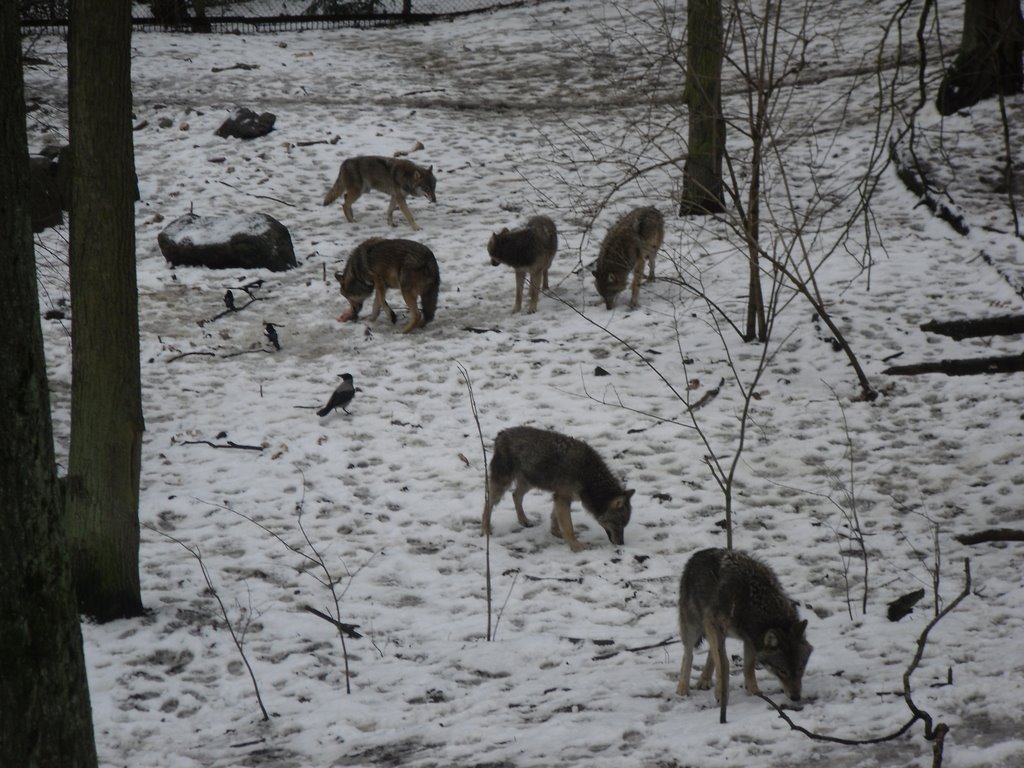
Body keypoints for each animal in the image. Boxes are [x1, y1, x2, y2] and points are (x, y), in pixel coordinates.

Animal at [479, 428, 630, 552]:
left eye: (624, 525)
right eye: (617, 523)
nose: (622, 544)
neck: (587, 474)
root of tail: (501, 434)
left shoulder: (560, 497)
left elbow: (555, 516)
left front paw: (556, 532)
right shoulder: (563, 497)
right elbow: (569, 527)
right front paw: (576, 546)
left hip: (530, 483)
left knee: (515, 495)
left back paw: (524, 521)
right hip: (502, 486)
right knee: (488, 504)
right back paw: (486, 530)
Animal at [675, 548, 811, 712]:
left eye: (800, 668)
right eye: (782, 670)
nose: (796, 697)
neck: (754, 603)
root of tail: (698, 553)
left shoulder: (750, 638)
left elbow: (748, 666)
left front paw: (754, 692)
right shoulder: (713, 623)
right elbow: (724, 663)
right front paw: (721, 694)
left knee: (711, 653)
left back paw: (704, 680)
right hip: (693, 627)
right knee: (688, 654)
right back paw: (682, 689)